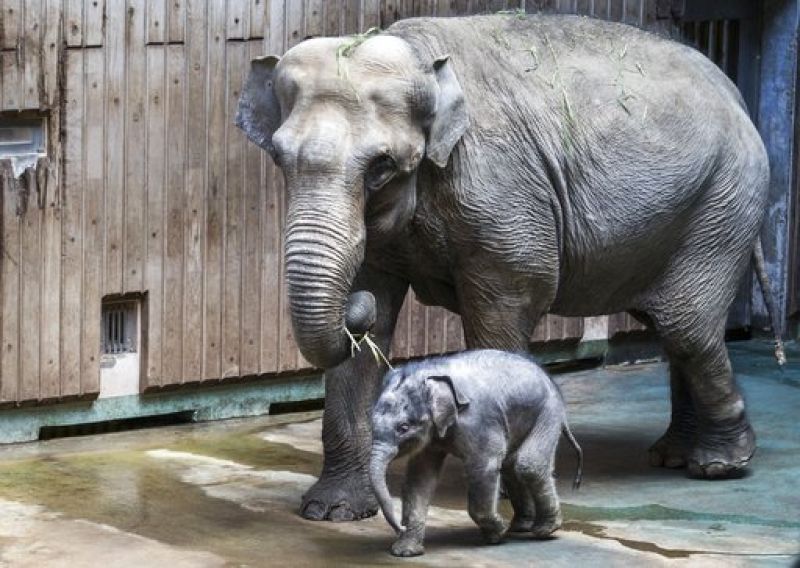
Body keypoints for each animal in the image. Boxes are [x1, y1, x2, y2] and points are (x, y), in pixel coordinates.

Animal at [236, 13, 780, 520]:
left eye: (381, 167)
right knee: (671, 328)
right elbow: (373, 319)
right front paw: (332, 511)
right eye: (279, 158)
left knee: (687, 328)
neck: (420, 57)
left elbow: (505, 305)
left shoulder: (502, 197)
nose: (355, 307)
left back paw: (718, 464)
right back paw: (674, 456)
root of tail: (734, 90)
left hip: (724, 202)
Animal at [368, 348, 580, 556]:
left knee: (528, 465)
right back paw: (520, 527)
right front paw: (405, 552)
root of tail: (547, 375)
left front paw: (497, 534)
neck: (431, 372)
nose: (400, 526)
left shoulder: (479, 422)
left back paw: (544, 530)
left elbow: (483, 466)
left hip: (548, 412)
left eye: (403, 427)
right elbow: (419, 477)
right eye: (371, 423)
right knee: (511, 466)